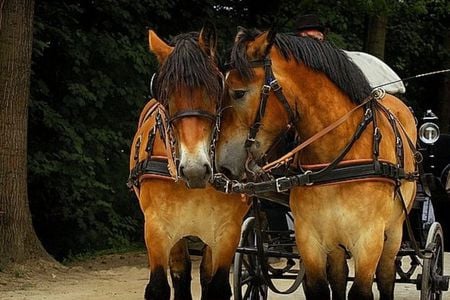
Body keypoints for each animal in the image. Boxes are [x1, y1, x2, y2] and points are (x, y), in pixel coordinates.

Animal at [128, 25, 250, 300]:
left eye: (216, 88)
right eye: (164, 94)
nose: (194, 170)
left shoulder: (227, 231)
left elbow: (216, 286)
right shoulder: (157, 227)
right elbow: (160, 286)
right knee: (180, 270)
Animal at [215, 27, 418, 298]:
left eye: (238, 92)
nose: (223, 165)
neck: (336, 160)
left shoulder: (369, 240)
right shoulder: (310, 240)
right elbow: (321, 287)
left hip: (394, 232)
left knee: (386, 275)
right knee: (340, 276)